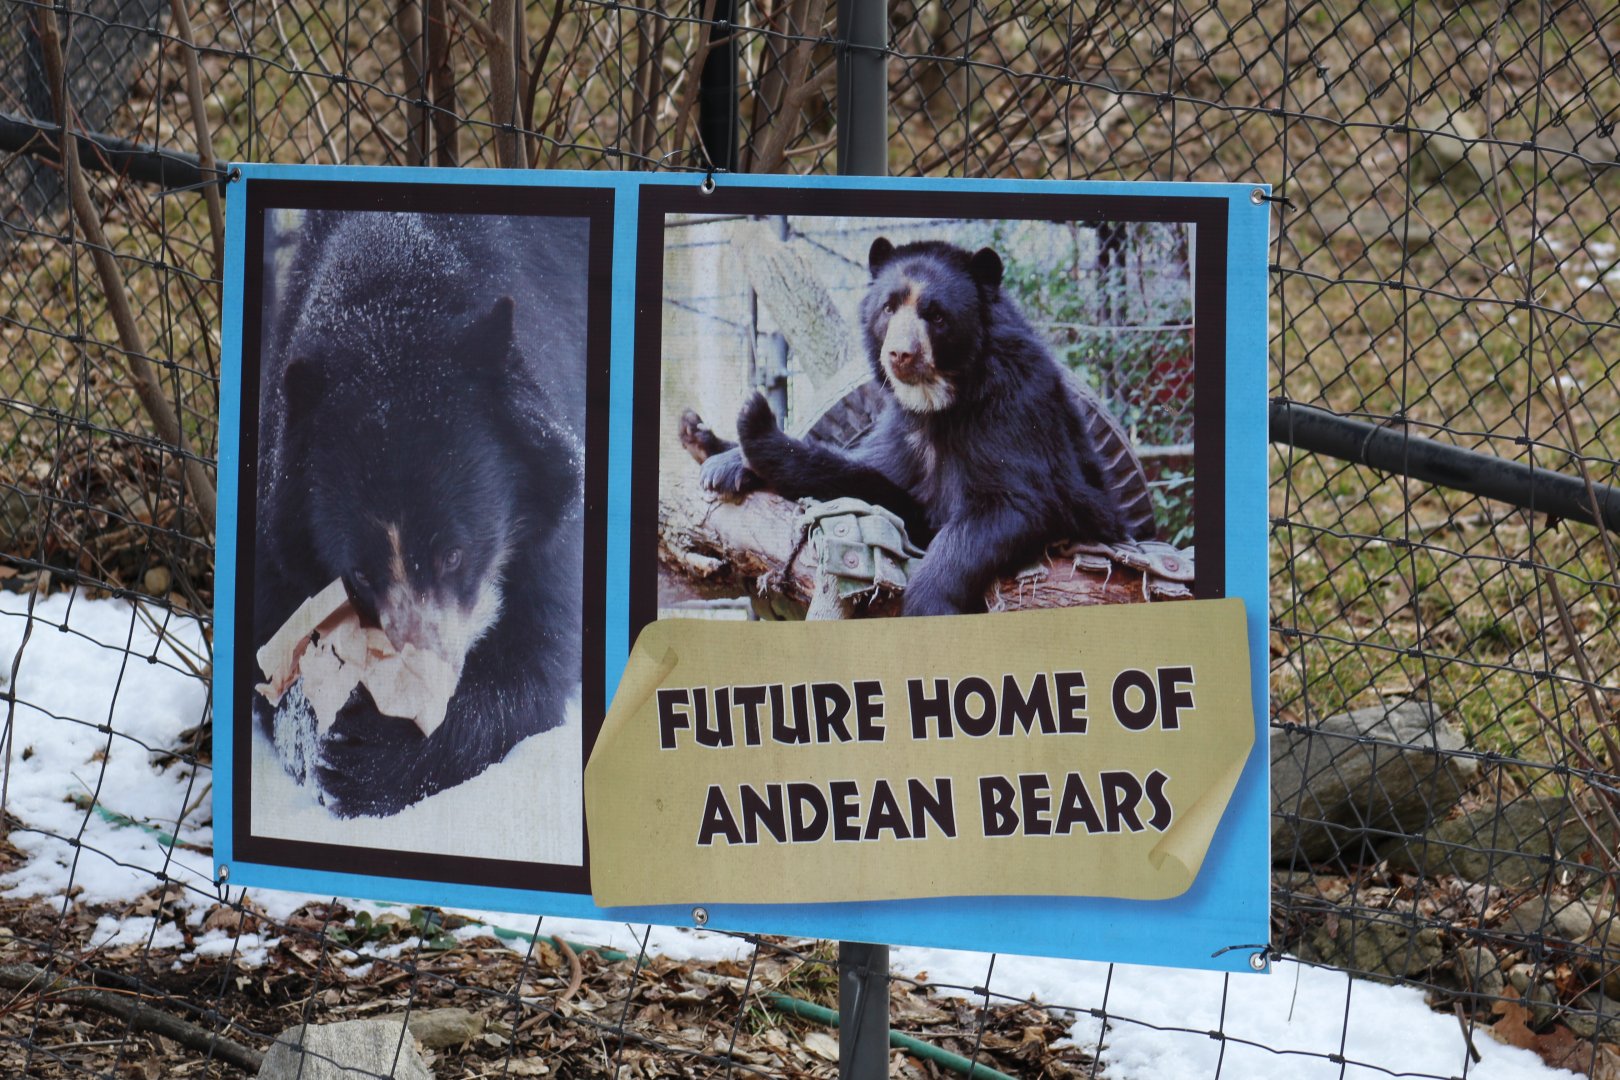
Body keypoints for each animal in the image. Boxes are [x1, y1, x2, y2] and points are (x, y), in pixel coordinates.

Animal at [253, 209, 587, 818]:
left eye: (453, 554)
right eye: (359, 575)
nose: (421, 690)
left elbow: (536, 655)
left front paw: (373, 753)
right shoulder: (280, 500)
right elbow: (272, 635)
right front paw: (317, 732)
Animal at [700, 237, 1131, 616]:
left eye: (936, 315)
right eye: (888, 308)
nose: (899, 354)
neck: (939, 404)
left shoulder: (1017, 410)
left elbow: (1016, 501)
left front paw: (928, 603)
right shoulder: (904, 429)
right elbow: (880, 482)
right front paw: (730, 460)